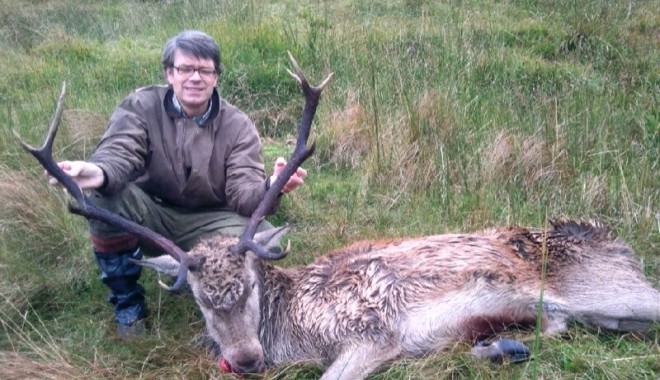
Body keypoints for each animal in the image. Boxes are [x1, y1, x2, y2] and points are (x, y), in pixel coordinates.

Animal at [15, 55, 660, 378]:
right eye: (199, 300)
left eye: (249, 285)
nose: (247, 361)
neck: (296, 328)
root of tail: (618, 241)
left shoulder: (373, 333)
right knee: (562, 326)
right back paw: (503, 346)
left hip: (616, 291)